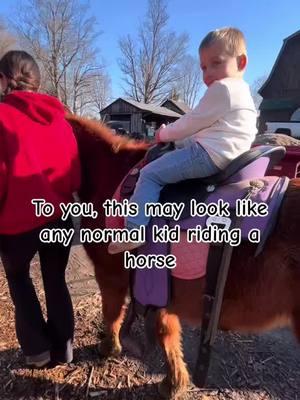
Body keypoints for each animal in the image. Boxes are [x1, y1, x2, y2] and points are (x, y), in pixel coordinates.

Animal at [67, 113, 300, 400]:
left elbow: (111, 313)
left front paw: (109, 348)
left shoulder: (110, 276)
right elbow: (166, 331)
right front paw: (174, 382)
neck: (109, 174)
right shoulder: (160, 288)